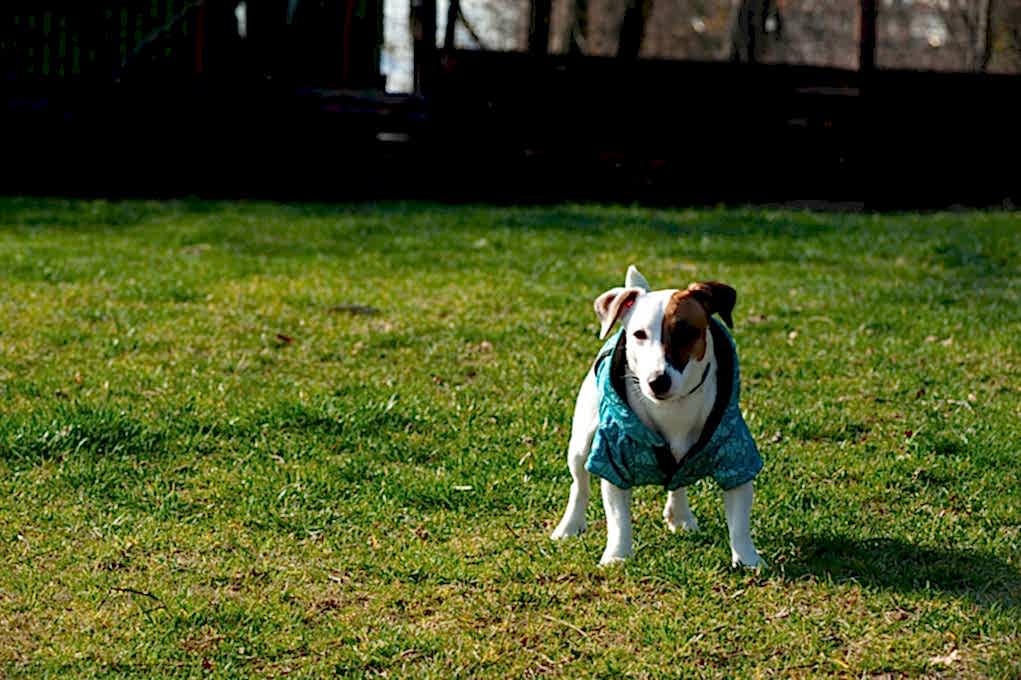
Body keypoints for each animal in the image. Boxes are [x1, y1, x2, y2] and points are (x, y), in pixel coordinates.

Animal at [551, 266, 764, 567]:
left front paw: (748, 561)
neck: (673, 409)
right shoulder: (614, 458)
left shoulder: (736, 456)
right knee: (579, 484)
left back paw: (681, 515)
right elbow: (618, 519)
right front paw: (616, 556)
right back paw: (569, 526)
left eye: (687, 331)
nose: (657, 381)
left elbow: (739, 520)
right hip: (581, 441)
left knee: (678, 480)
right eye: (639, 334)